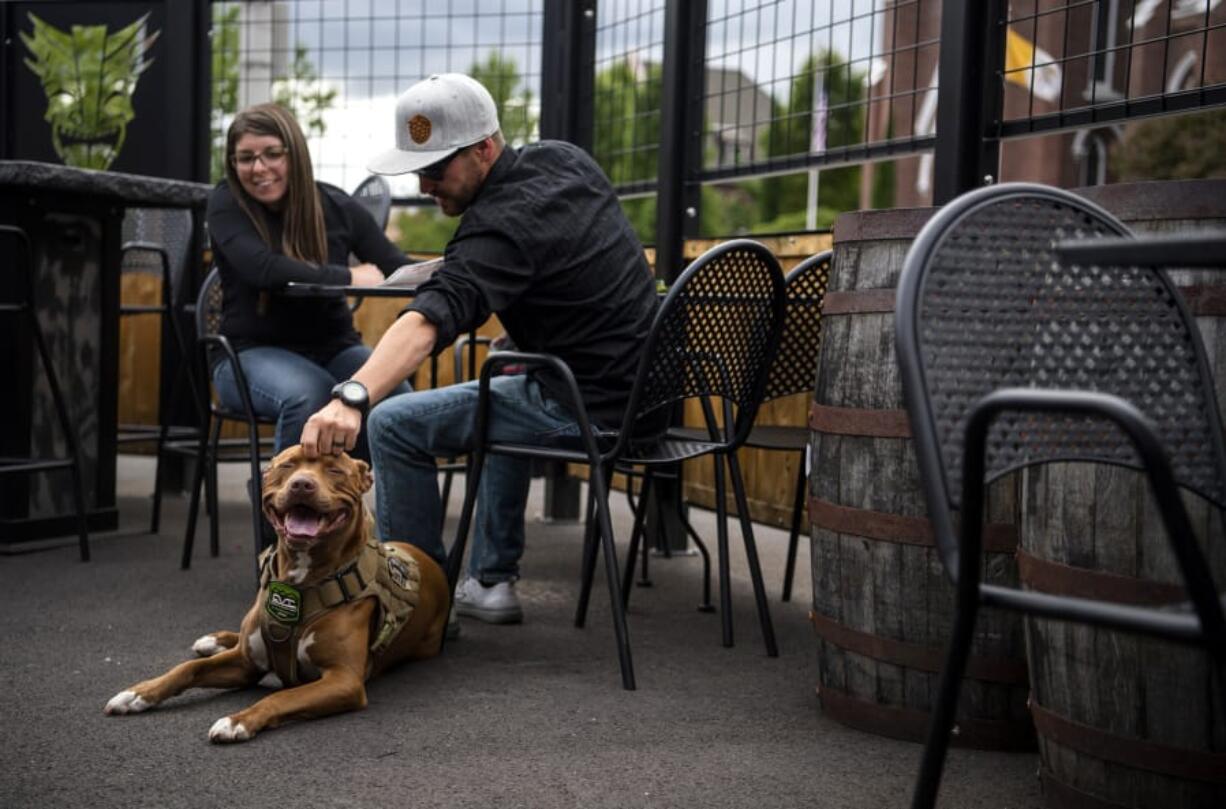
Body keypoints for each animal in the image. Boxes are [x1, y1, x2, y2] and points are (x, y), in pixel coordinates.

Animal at [104, 446, 451, 740]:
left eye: (335, 470)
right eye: (288, 466)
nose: (302, 484)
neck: (297, 582)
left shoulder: (344, 680)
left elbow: (281, 695)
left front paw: (238, 721)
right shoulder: (246, 664)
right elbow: (188, 668)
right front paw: (138, 694)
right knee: (231, 642)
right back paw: (214, 640)